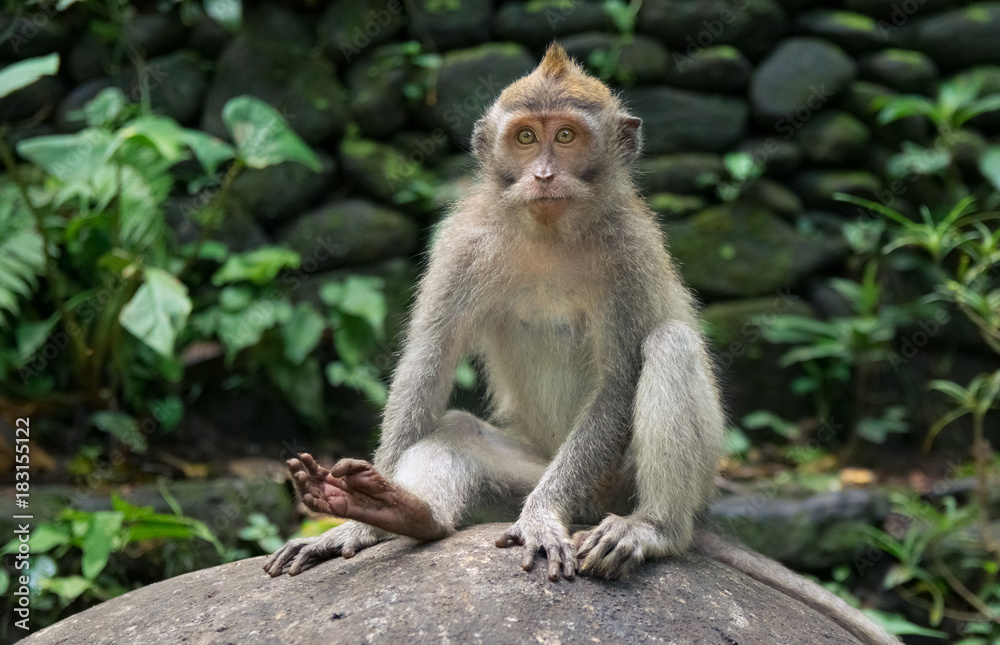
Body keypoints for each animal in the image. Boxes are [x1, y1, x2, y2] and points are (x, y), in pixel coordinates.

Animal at [264, 45, 900, 644]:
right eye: (526, 137)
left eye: (566, 136)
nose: (543, 175)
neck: (550, 230)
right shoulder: (462, 242)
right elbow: (429, 362)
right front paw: (361, 521)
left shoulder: (630, 251)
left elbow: (618, 380)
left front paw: (544, 518)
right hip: (527, 470)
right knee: (458, 432)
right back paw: (409, 514)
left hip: (619, 483)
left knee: (669, 346)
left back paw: (653, 529)